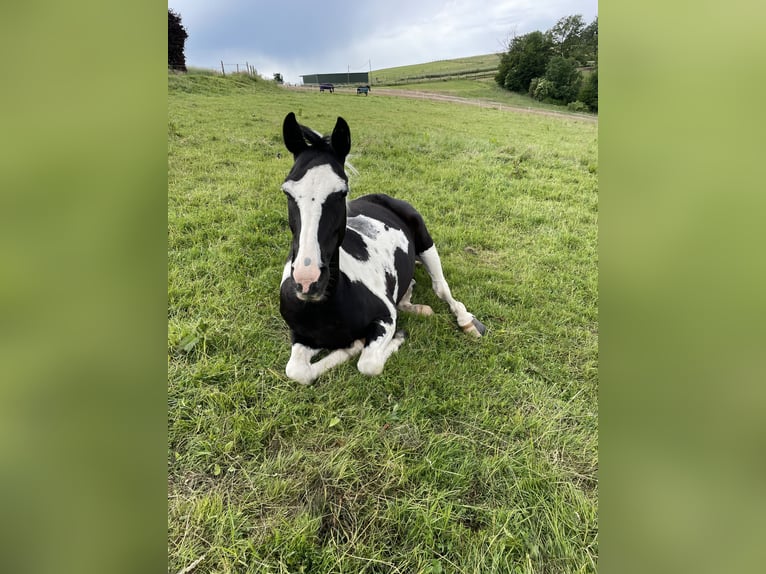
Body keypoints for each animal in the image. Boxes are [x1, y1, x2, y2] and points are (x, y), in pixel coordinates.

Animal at [279, 112, 485, 385]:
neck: (326, 307)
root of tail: (380, 197)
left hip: (426, 243)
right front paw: (351, 345)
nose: (307, 282)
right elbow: (297, 371)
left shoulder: (386, 319)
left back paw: (468, 322)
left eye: (341, 192)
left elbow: (368, 364)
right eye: (287, 192)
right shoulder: (300, 334)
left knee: (441, 287)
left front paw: (380, 341)